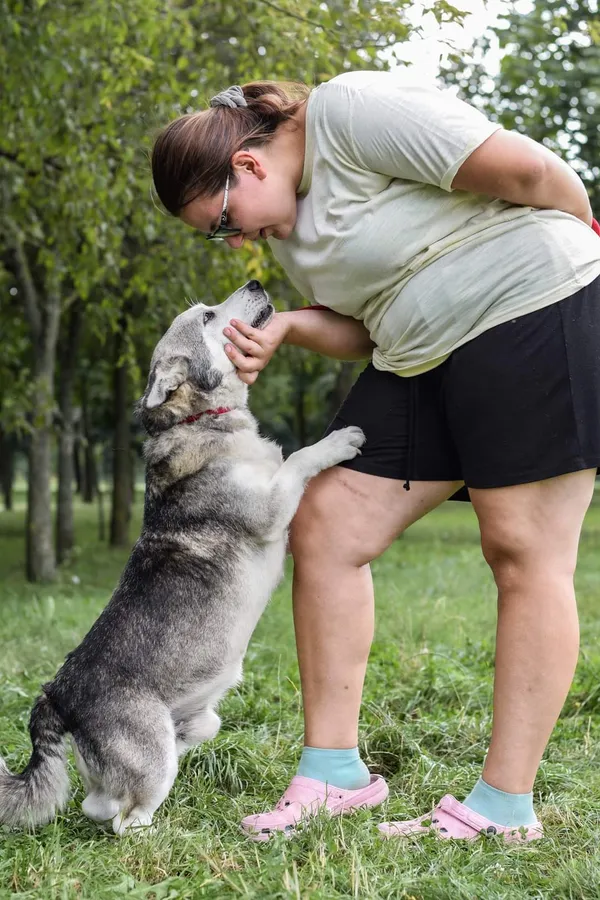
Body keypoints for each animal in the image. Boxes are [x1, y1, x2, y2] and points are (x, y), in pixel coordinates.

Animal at [0, 284, 366, 836]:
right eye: (208, 317)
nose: (256, 285)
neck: (201, 420)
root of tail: (56, 694)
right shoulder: (272, 509)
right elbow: (300, 458)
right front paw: (338, 440)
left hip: (181, 735)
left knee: (100, 804)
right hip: (154, 759)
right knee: (125, 820)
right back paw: (160, 830)